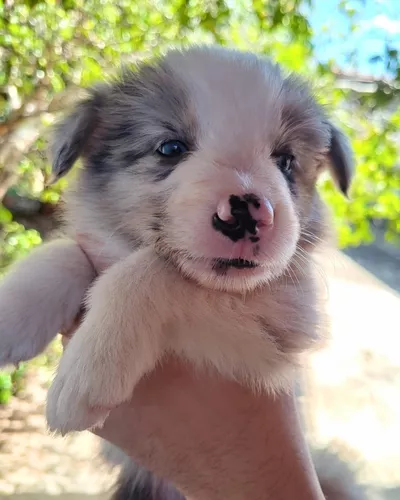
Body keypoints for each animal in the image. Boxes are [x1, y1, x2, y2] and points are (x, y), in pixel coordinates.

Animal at [0, 47, 354, 496]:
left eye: (287, 161)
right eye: (170, 148)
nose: (246, 213)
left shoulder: (277, 332)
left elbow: (153, 272)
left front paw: (88, 371)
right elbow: (66, 251)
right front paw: (12, 317)